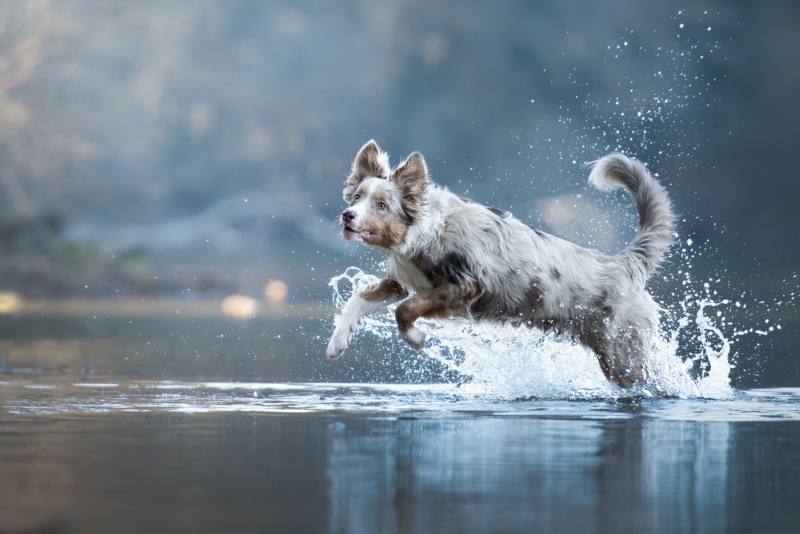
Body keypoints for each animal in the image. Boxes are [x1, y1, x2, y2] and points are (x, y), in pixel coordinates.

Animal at [324, 140, 676, 388]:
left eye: (382, 205)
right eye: (356, 197)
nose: (347, 215)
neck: (427, 229)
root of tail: (627, 264)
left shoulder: (465, 285)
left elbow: (404, 310)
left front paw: (416, 338)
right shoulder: (400, 281)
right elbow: (359, 299)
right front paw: (338, 341)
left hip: (623, 355)